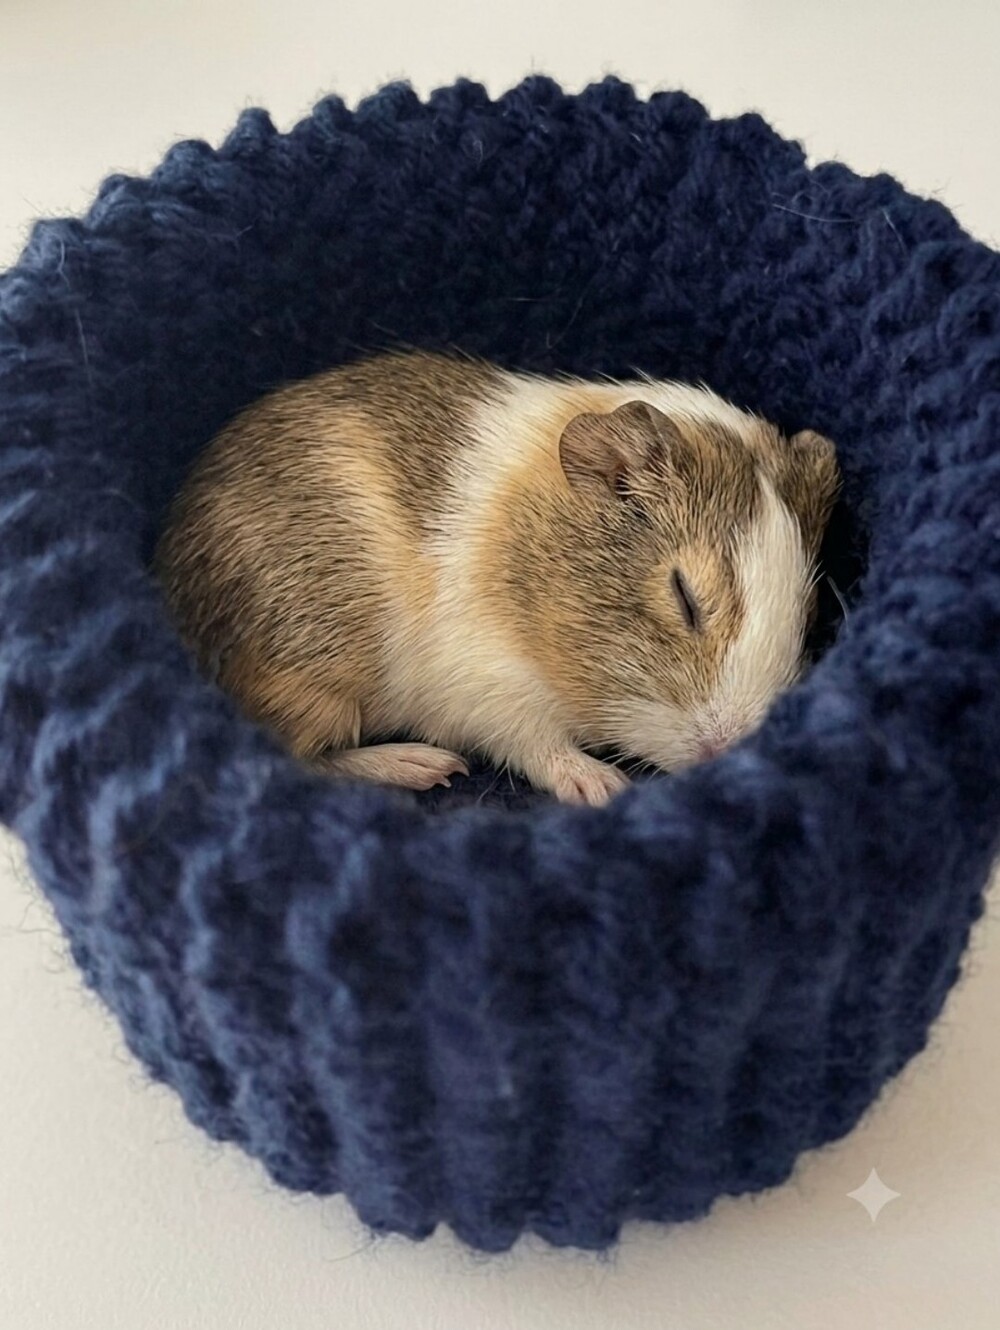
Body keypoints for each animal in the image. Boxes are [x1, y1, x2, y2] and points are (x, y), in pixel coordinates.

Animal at [154, 350, 839, 806]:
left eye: (806, 621)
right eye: (685, 596)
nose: (726, 749)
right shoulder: (488, 690)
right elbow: (537, 744)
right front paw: (603, 787)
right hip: (310, 688)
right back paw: (426, 766)